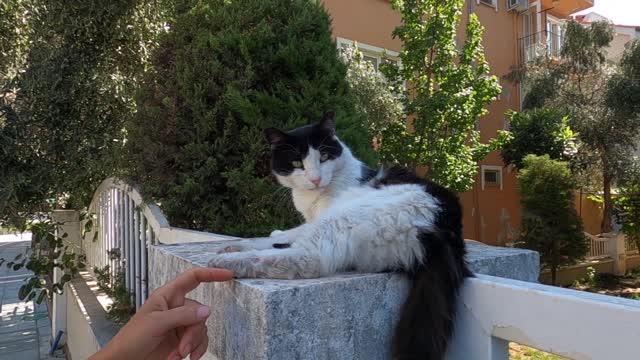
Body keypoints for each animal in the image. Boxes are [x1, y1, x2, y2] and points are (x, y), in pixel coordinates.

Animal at [209, 112, 470, 358]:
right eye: (297, 162)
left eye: (324, 157)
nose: (315, 179)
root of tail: (445, 226)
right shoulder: (312, 219)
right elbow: (281, 236)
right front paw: (248, 241)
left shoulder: (323, 215)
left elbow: (291, 237)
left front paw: (239, 248)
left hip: (344, 216)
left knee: (307, 260)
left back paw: (227, 262)